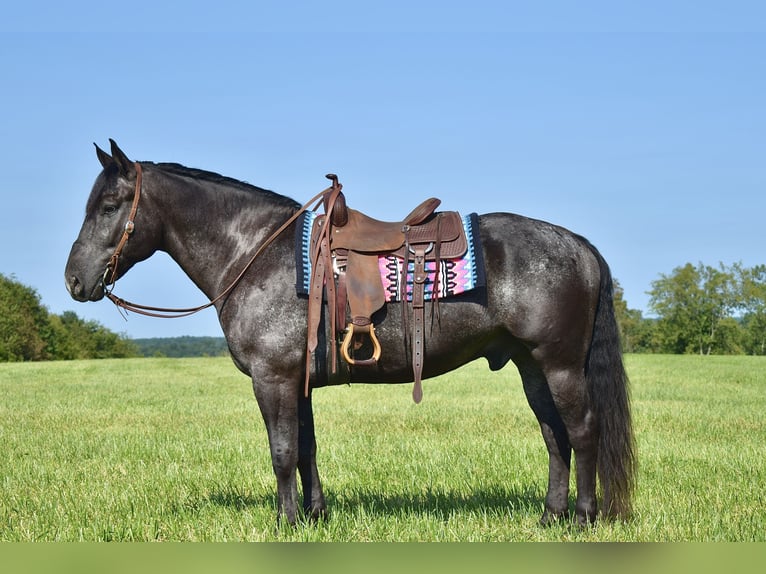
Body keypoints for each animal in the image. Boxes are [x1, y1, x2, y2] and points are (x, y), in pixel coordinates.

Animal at [64, 141, 636, 532]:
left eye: (110, 206)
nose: (74, 281)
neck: (256, 253)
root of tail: (577, 244)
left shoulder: (272, 379)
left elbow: (281, 451)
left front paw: (285, 522)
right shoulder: (296, 382)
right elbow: (306, 447)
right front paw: (313, 516)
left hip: (560, 365)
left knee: (582, 432)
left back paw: (582, 517)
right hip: (531, 366)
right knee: (554, 436)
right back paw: (550, 517)